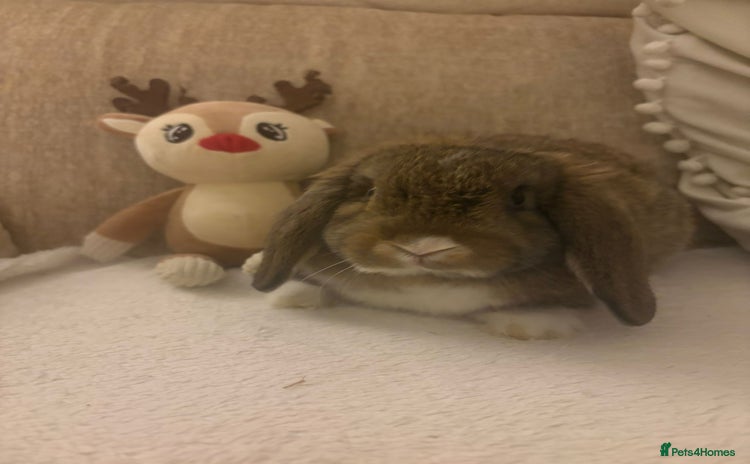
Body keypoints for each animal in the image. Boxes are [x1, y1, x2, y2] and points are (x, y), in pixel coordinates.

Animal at [245, 134, 694, 339]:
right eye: (370, 192)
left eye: (519, 198)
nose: (423, 246)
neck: (424, 285)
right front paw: (290, 293)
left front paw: (530, 325)